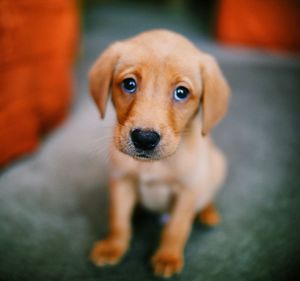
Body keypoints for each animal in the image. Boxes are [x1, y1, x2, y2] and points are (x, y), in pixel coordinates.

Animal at [89, 29, 230, 276]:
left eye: (181, 92)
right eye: (129, 84)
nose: (144, 139)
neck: (153, 166)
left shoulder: (187, 191)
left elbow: (176, 227)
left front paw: (168, 256)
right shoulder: (121, 182)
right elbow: (118, 220)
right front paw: (113, 247)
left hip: (218, 164)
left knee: (207, 195)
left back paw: (208, 212)